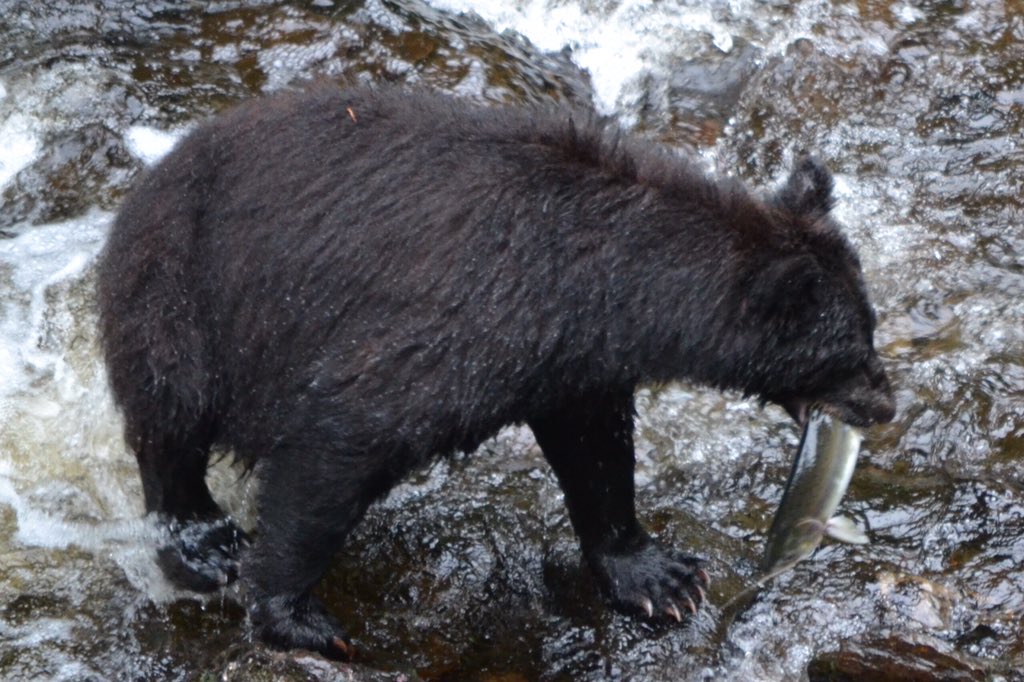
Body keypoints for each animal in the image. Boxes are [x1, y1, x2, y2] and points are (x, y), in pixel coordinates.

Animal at [96, 84, 895, 659]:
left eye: (870, 327)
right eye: (850, 349)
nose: (885, 405)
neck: (599, 282)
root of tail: (151, 176)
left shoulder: (570, 364)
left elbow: (597, 456)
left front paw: (660, 577)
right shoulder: (464, 319)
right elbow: (342, 437)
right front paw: (298, 616)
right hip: (179, 287)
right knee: (171, 421)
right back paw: (202, 541)